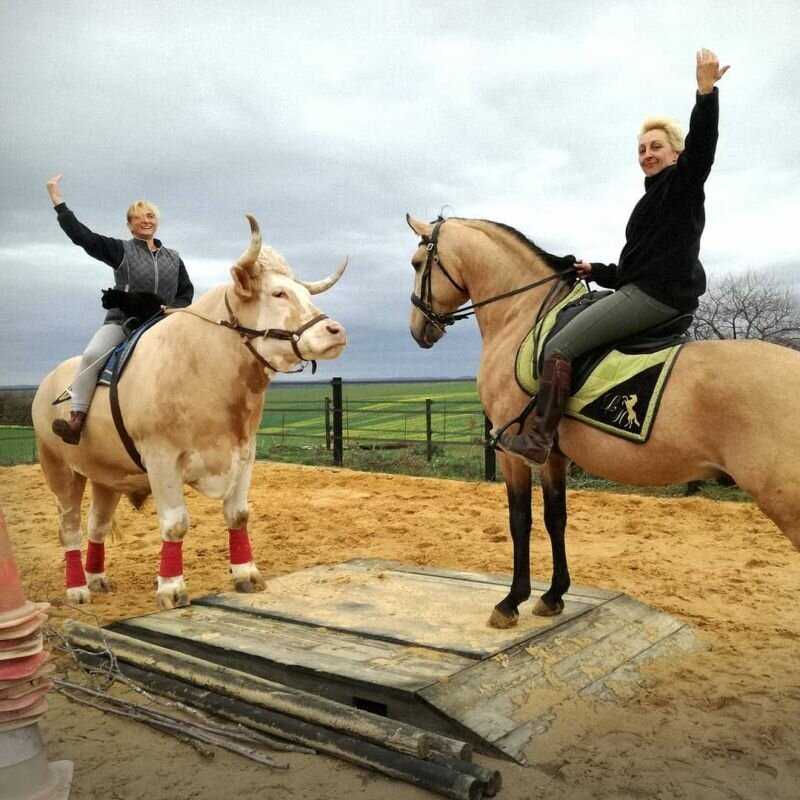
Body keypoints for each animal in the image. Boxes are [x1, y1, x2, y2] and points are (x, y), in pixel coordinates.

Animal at [31, 216, 346, 608]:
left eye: (305, 294)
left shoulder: (245, 453)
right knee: (69, 527)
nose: (335, 331)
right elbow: (175, 523)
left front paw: (246, 574)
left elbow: (238, 514)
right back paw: (77, 588)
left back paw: (97, 577)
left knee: (96, 524)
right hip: (59, 468)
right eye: (278, 294)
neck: (203, 368)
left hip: (107, 476)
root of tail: (47, 384)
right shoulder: (161, 457)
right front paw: (171, 587)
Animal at [406, 216, 800, 628]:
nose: (419, 329)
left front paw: (511, 601)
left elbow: (520, 520)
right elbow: (556, 517)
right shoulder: (553, 455)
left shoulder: (512, 451)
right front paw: (553, 596)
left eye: (417, 264)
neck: (524, 317)